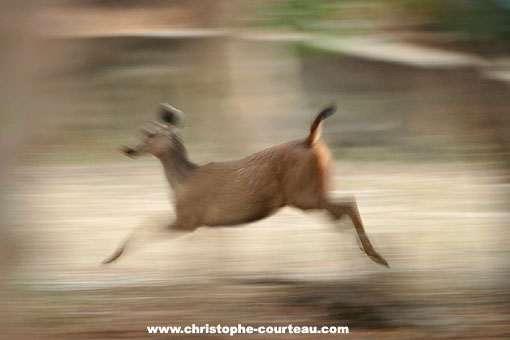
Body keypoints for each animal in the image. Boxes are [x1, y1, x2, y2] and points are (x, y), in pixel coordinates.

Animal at [103, 102, 390, 266]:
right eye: (141, 130)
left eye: (150, 133)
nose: (128, 148)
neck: (183, 181)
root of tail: (311, 139)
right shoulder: (202, 222)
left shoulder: (190, 217)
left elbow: (147, 223)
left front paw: (111, 257)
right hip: (317, 188)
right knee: (340, 212)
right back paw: (360, 254)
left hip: (304, 194)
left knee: (348, 204)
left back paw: (376, 257)